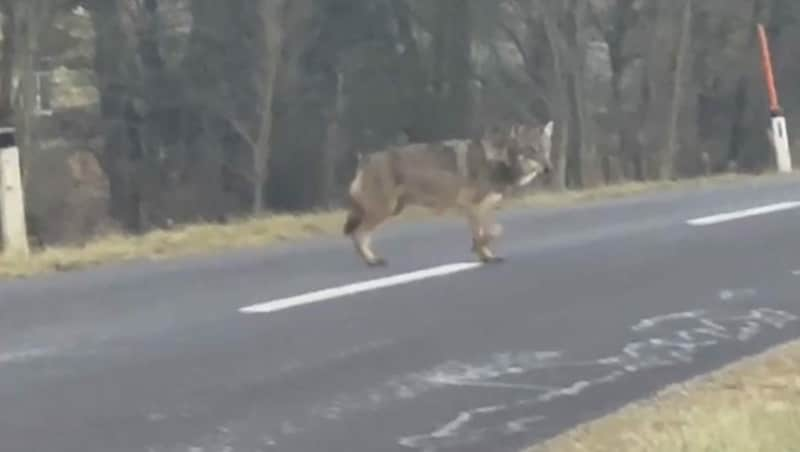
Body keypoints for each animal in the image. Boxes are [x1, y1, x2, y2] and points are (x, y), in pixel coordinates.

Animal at [340, 120, 552, 266]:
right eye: (532, 150)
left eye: (547, 150)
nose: (549, 168)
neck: (499, 161)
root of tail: (365, 158)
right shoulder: (472, 205)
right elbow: (494, 231)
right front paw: (479, 249)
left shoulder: (481, 208)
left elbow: (487, 233)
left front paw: (486, 256)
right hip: (383, 210)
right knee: (357, 235)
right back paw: (372, 261)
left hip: (390, 211)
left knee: (361, 236)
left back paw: (373, 259)